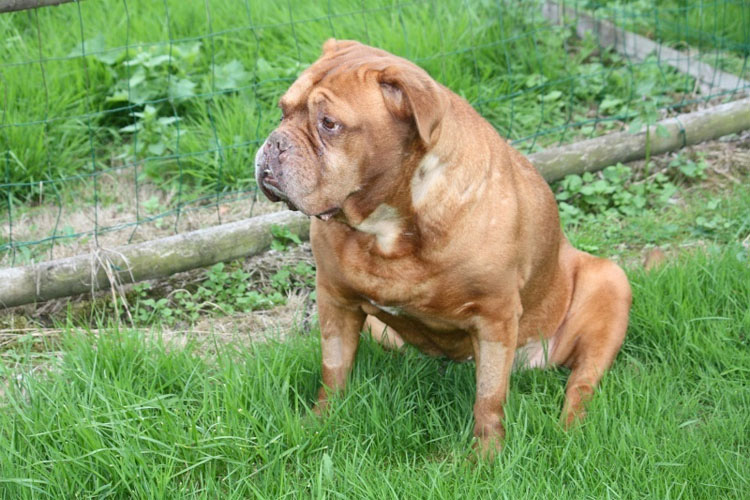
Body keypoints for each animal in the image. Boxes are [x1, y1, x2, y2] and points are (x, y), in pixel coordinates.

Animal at [256, 38, 632, 454]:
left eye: (329, 124)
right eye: (283, 110)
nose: (274, 143)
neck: (387, 225)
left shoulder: (495, 318)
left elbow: (489, 397)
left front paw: (485, 456)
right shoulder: (335, 299)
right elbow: (334, 368)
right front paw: (319, 422)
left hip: (610, 284)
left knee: (581, 382)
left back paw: (569, 430)